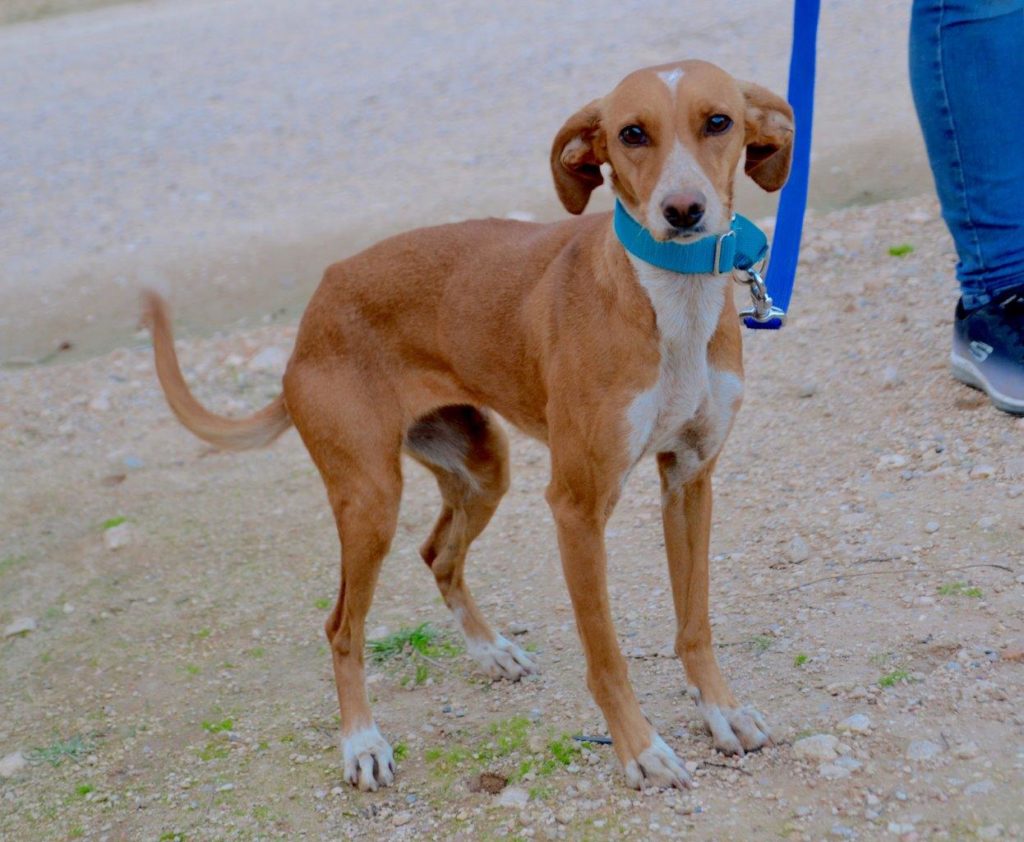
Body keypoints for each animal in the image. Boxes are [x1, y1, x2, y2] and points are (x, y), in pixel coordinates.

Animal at [144, 57, 794, 790]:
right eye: (632, 133)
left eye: (718, 121)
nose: (683, 211)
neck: (671, 295)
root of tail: (314, 311)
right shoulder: (577, 507)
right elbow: (606, 654)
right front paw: (640, 749)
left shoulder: (689, 479)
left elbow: (695, 622)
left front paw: (721, 712)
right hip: (371, 500)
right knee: (341, 626)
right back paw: (361, 742)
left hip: (484, 465)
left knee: (437, 554)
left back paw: (490, 652)